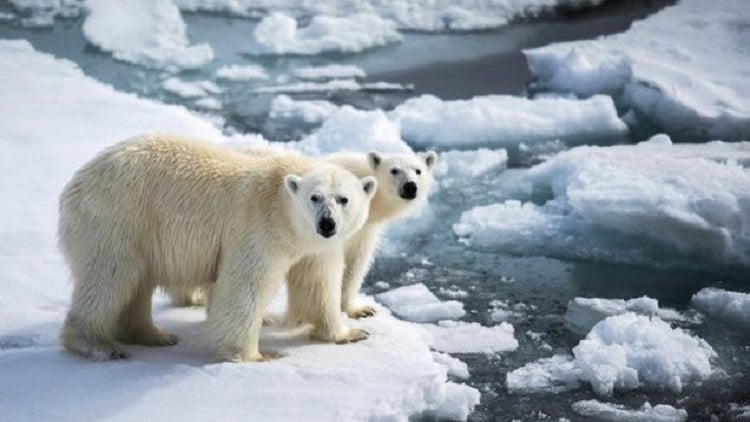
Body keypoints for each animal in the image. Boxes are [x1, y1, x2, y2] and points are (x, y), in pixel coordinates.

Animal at [58, 134, 376, 362]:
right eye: (315, 197)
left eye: (343, 199)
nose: (327, 224)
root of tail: (76, 182)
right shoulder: (258, 227)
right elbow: (244, 286)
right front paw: (254, 355)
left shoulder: (314, 248)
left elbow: (318, 284)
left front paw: (350, 333)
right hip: (118, 217)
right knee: (110, 276)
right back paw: (98, 344)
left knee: (135, 283)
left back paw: (153, 335)